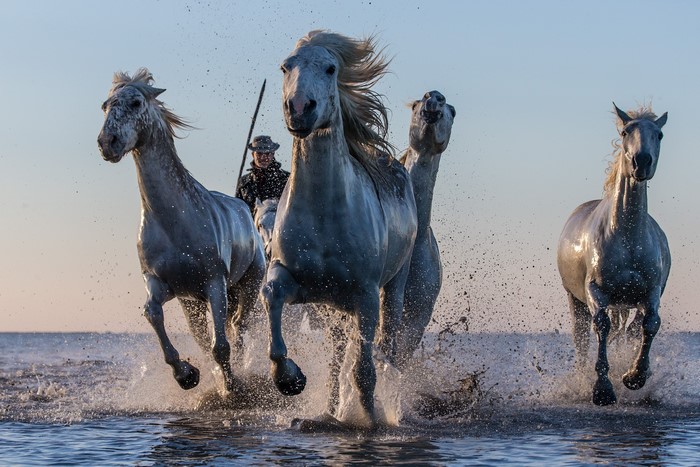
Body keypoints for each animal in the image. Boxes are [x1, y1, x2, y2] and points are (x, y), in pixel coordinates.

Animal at [97, 68, 266, 393]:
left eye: (136, 102)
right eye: (105, 105)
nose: (106, 143)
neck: (174, 222)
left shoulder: (215, 283)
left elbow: (221, 346)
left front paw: (231, 387)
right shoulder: (161, 283)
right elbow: (153, 314)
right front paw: (186, 374)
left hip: (250, 283)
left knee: (238, 327)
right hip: (192, 304)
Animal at [259, 30, 418, 428]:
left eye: (331, 68)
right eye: (285, 66)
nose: (300, 108)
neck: (324, 215)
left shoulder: (365, 296)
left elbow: (363, 369)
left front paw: (371, 420)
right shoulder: (296, 281)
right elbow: (271, 296)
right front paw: (289, 379)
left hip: (394, 285)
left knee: (385, 348)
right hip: (331, 306)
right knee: (335, 358)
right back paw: (327, 412)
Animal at [557, 103, 670, 405]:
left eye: (659, 134)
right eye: (625, 131)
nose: (642, 162)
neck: (627, 237)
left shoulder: (650, 292)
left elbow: (650, 325)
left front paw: (634, 377)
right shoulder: (596, 292)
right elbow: (602, 326)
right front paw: (602, 389)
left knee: (631, 330)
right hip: (575, 299)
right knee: (582, 338)